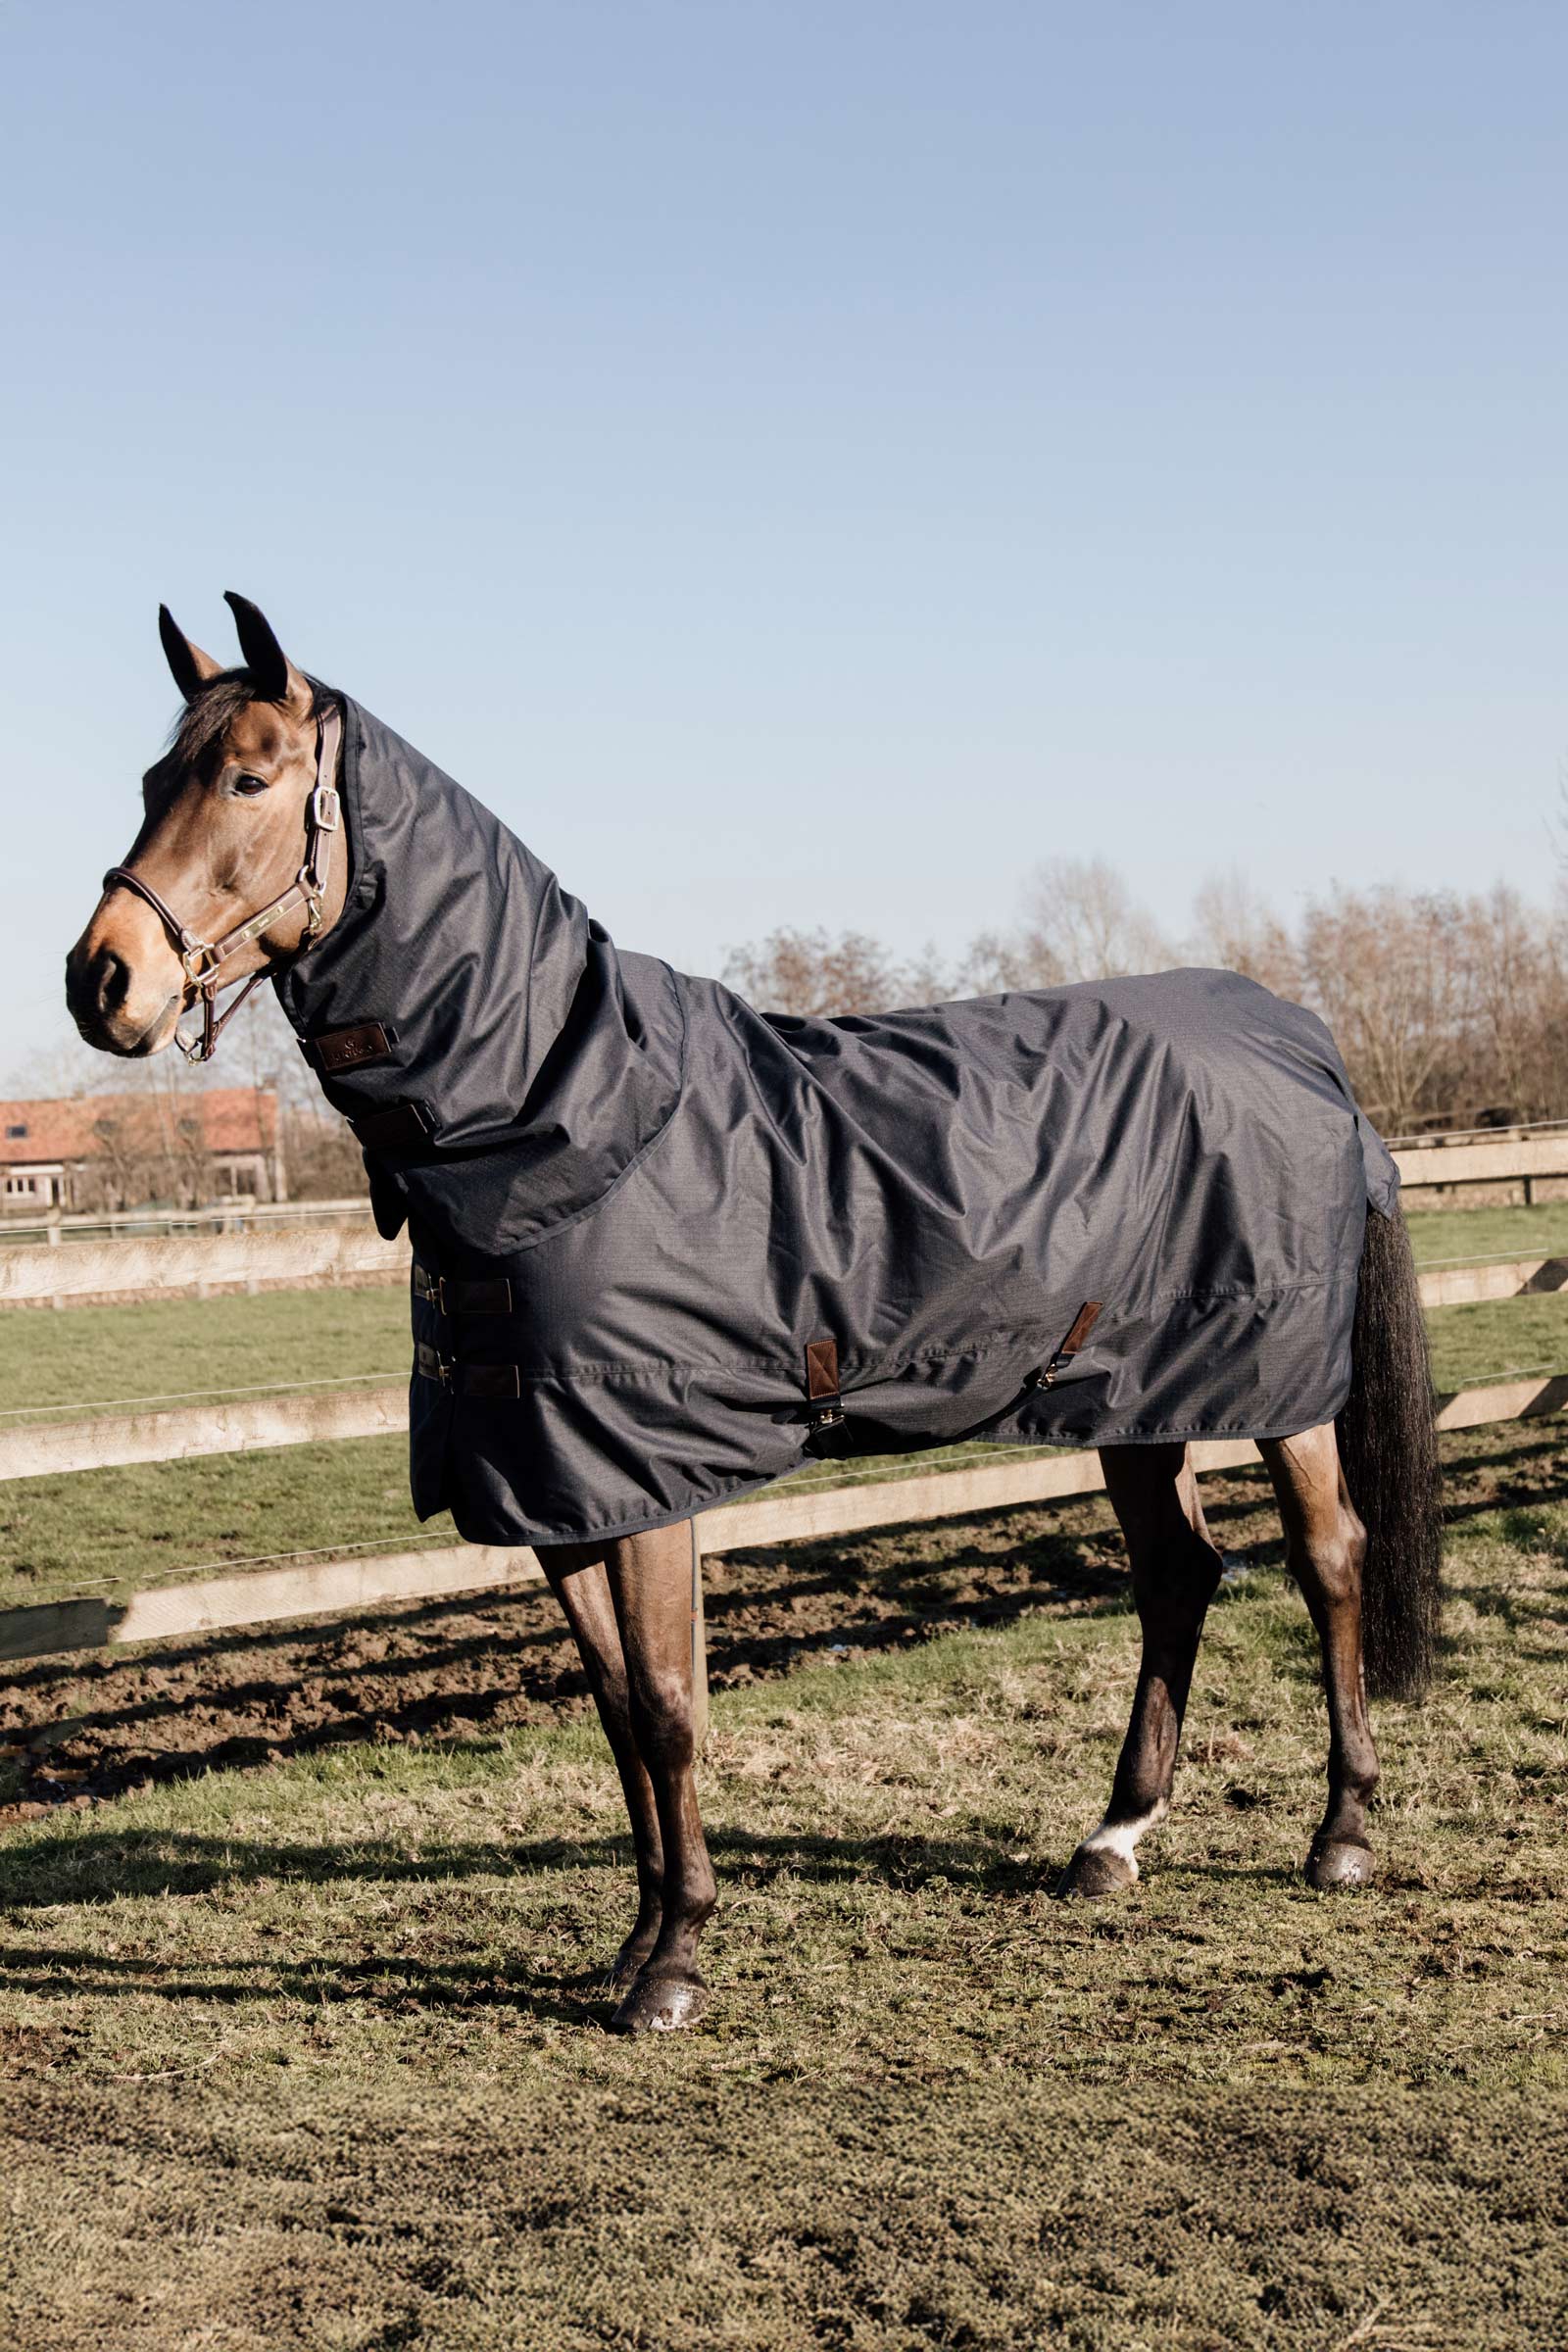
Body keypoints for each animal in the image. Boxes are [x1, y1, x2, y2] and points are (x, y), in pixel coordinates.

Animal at [66, 593, 1442, 2034]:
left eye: (249, 780)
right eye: (154, 780)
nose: (102, 982)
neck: (570, 1108)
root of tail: (1297, 1035)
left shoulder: (646, 1473)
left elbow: (671, 1704)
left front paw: (675, 1965)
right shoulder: (557, 1484)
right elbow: (617, 1707)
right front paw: (632, 1945)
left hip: (1278, 1394)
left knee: (1328, 1559)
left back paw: (1341, 1835)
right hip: (1130, 1395)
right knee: (1177, 1575)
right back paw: (1112, 1841)